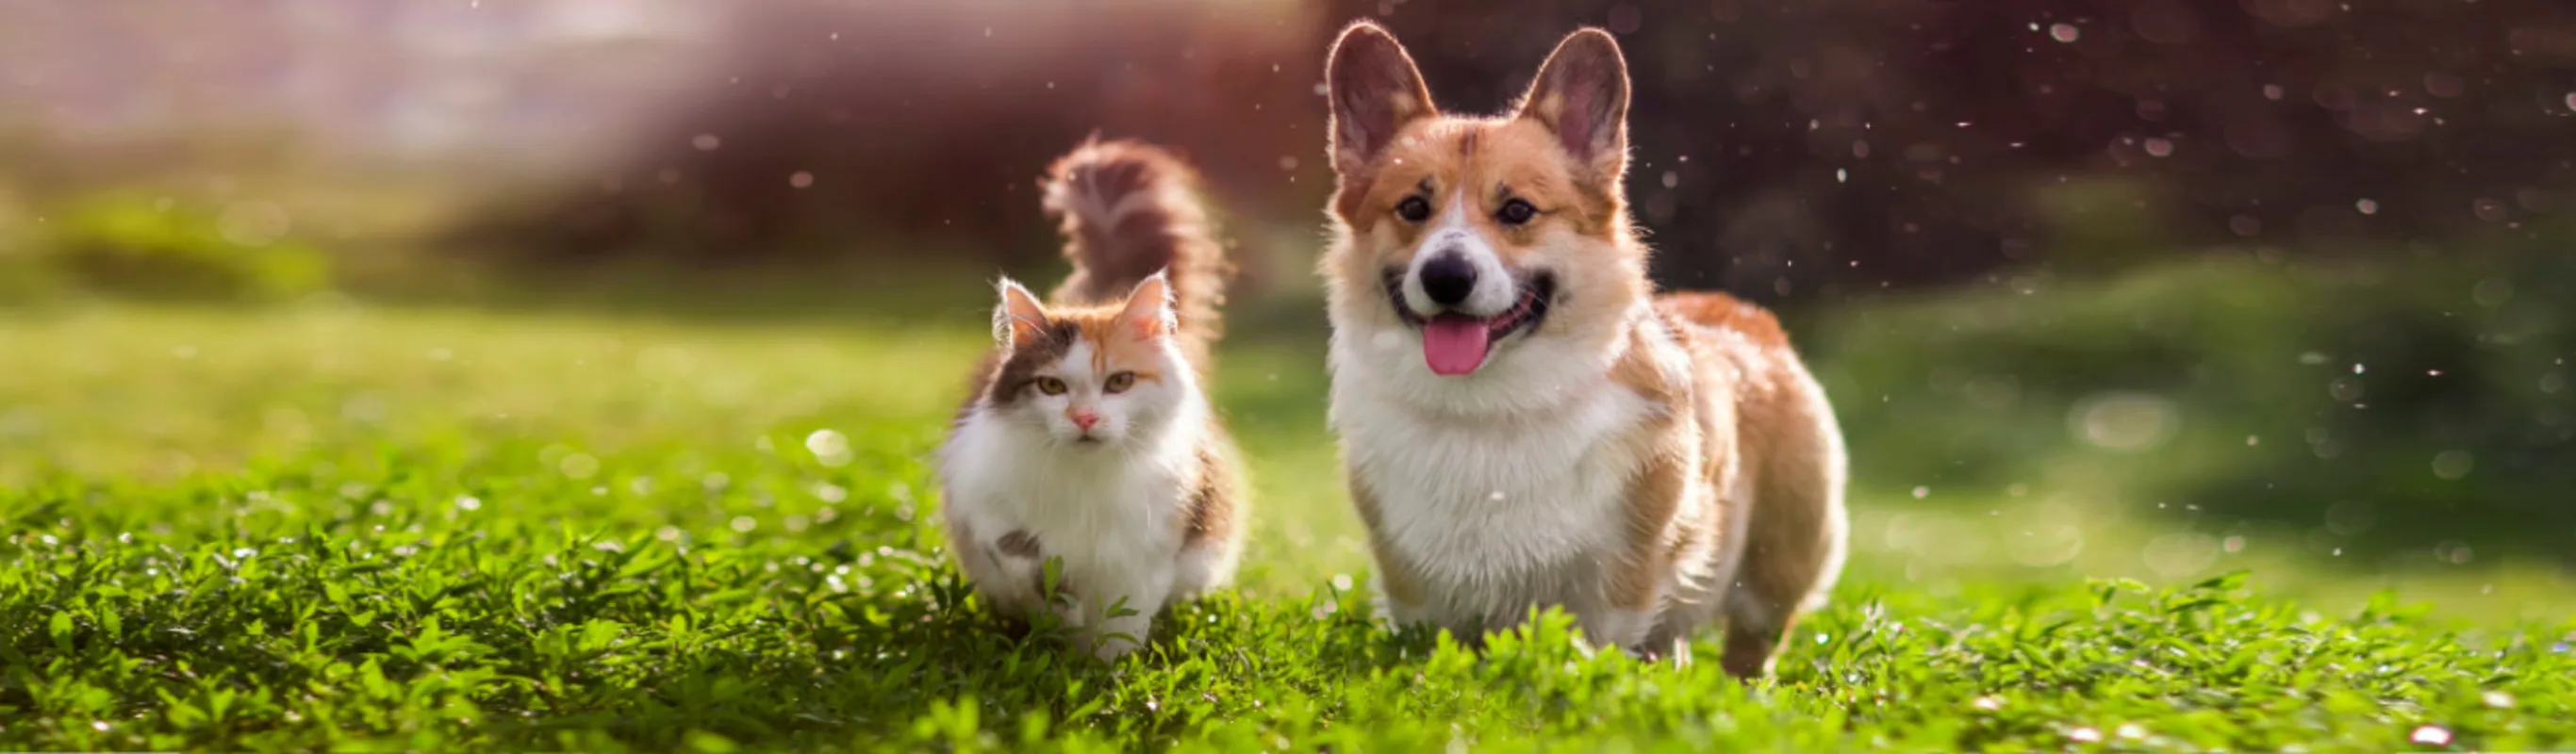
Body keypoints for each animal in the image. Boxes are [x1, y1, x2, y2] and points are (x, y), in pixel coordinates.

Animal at [937, 136, 1247, 658]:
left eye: (1119, 383)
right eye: (1051, 386)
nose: (1084, 418)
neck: (1086, 482)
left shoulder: (1148, 549)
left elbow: (1122, 625)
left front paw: (1105, 671)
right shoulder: (981, 502)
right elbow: (1027, 557)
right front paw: (1061, 618)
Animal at [1318, 22, 1844, 674]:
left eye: (1517, 210)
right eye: (1413, 207)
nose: (1446, 277)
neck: (1488, 409)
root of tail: (1747, 313)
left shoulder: (1621, 583)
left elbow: (1601, 649)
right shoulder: (1412, 588)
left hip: (1773, 576)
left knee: (1749, 649)